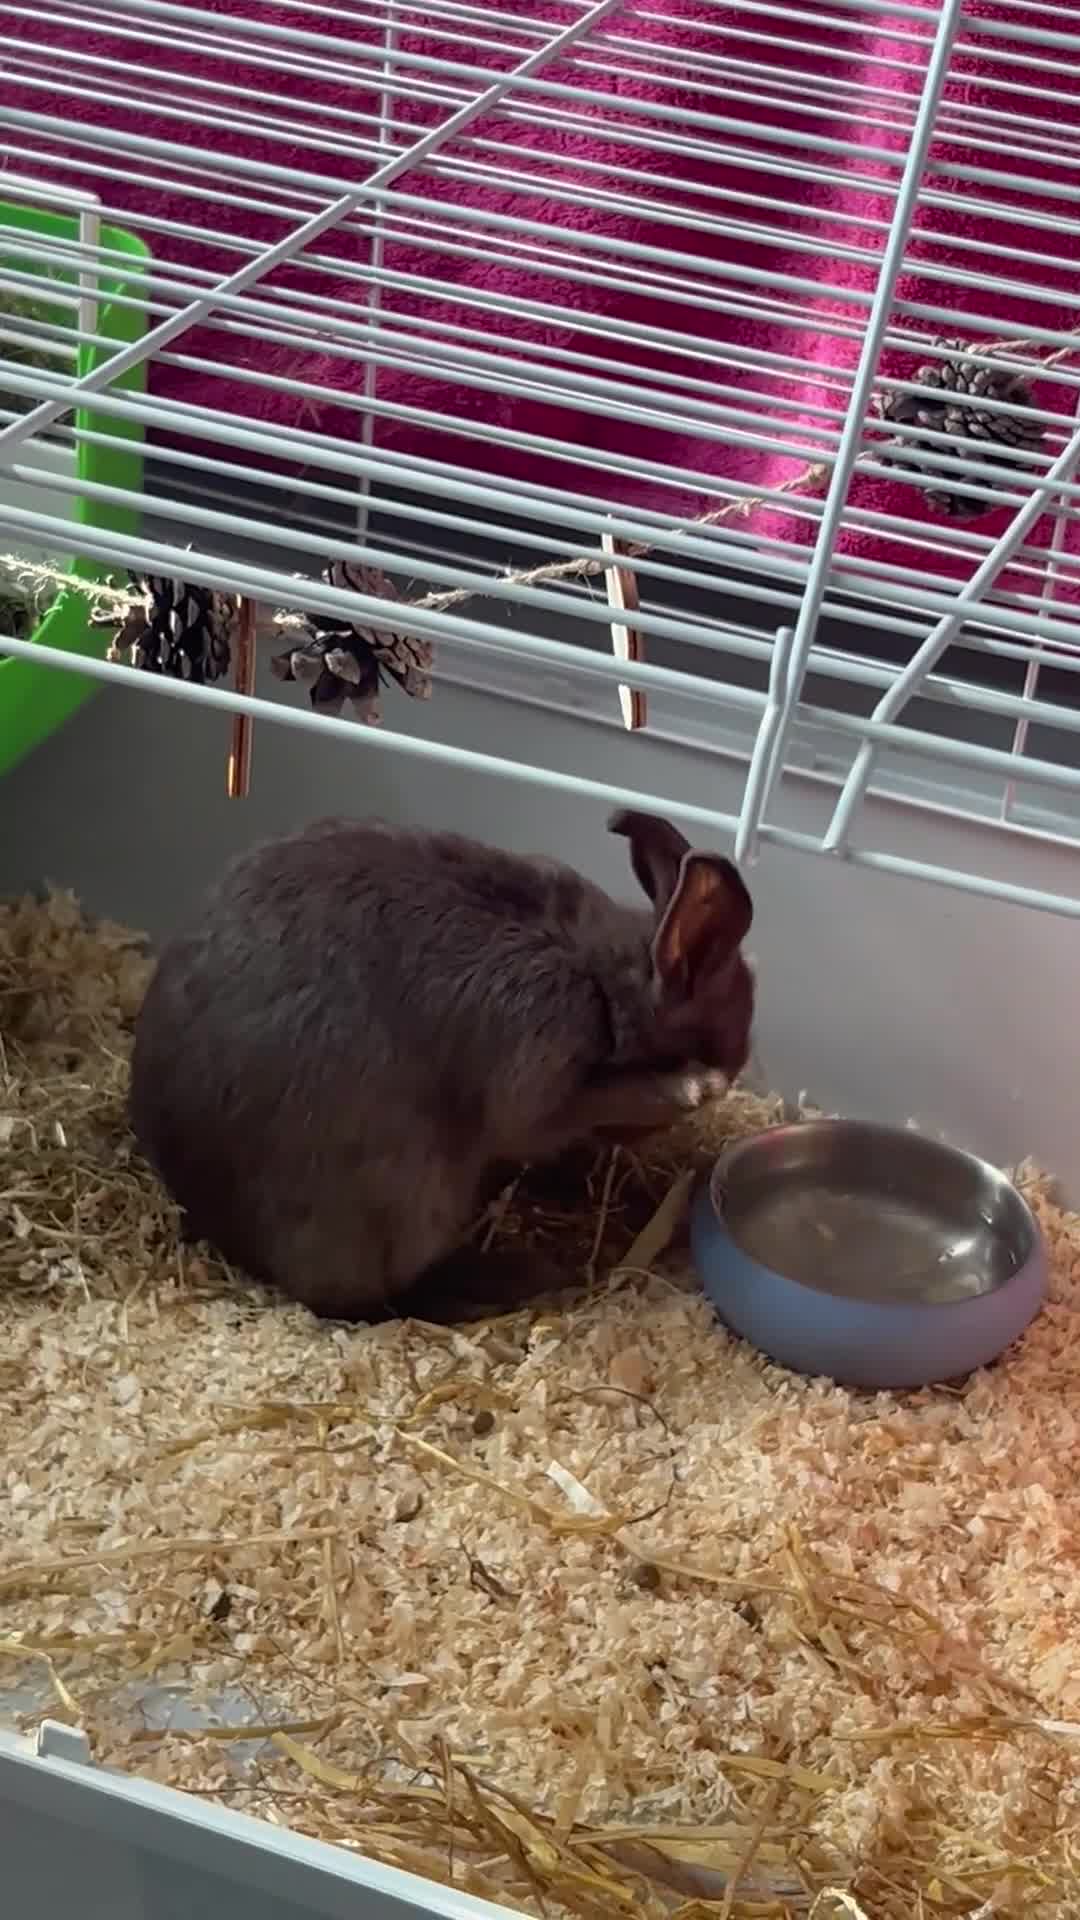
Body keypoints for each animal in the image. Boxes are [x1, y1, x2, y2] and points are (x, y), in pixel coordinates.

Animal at [128, 808, 755, 1322]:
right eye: (721, 1039)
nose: (727, 1071)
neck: (600, 978)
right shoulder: (541, 1081)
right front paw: (694, 1086)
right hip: (402, 1208)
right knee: (370, 1301)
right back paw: (506, 1279)